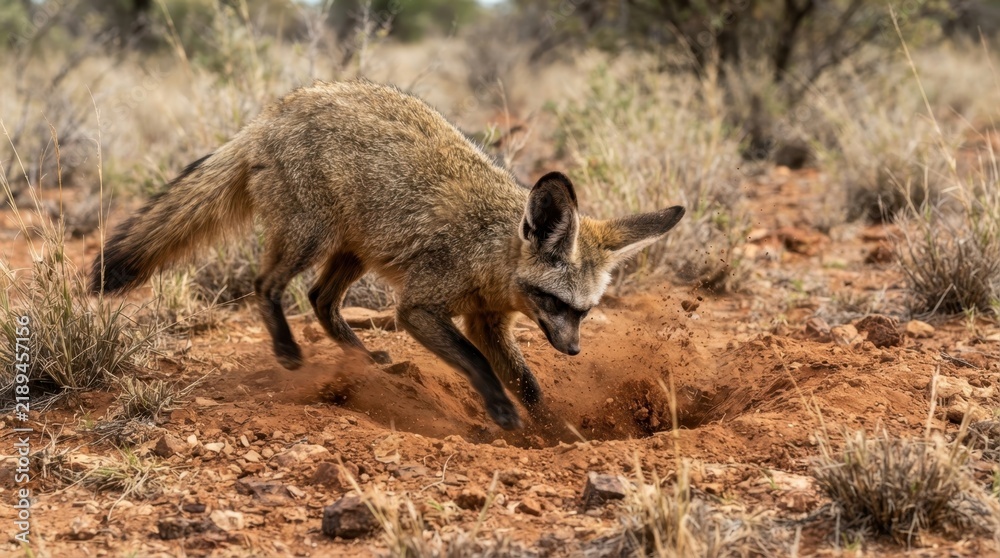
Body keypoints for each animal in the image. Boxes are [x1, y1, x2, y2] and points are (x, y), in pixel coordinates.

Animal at [90, 79, 685, 430]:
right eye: (557, 303)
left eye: (585, 311)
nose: (574, 350)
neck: (488, 249)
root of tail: (272, 113)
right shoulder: (418, 308)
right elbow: (473, 362)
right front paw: (499, 410)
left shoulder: (488, 321)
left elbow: (528, 383)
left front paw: (553, 431)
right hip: (313, 238)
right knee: (268, 286)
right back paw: (288, 352)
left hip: (356, 251)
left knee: (320, 300)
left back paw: (365, 361)